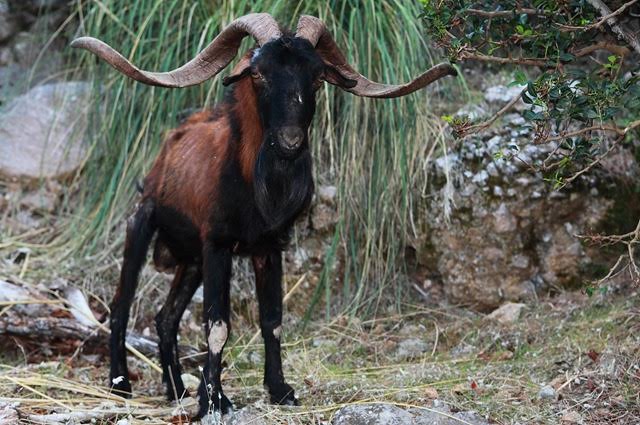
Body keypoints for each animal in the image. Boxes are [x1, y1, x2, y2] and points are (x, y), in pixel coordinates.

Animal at [71, 13, 456, 419]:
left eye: (316, 76)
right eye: (258, 74)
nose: (290, 141)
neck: (256, 187)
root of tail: (168, 150)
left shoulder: (270, 248)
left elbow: (272, 320)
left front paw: (280, 390)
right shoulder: (218, 245)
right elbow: (217, 325)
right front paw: (214, 401)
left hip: (191, 261)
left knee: (165, 317)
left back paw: (176, 388)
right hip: (143, 226)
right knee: (121, 305)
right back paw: (121, 384)